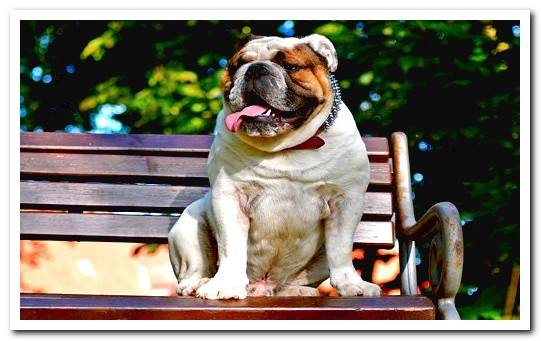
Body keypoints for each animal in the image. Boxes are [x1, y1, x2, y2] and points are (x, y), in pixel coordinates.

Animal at [168, 33, 380, 298]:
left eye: (290, 66)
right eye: (238, 65)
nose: (255, 69)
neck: (286, 147)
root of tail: (262, 286)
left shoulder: (346, 202)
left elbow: (341, 250)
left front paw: (351, 284)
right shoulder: (229, 198)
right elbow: (231, 246)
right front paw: (226, 284)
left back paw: (300, 291)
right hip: (189, 225)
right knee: (193, 268)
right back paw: (197, 283)